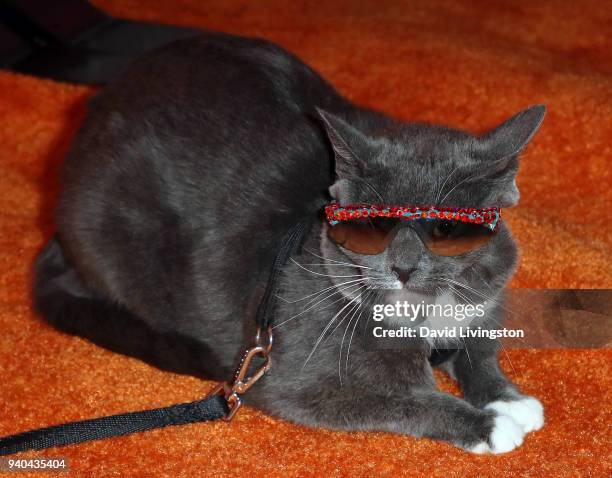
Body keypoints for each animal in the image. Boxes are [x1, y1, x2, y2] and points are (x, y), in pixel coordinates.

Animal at [34, 31, 544, 454]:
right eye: (371, 225)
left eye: (446, 230)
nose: (403, 267)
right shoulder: (291, 381)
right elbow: (402, 402)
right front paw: (486, 425)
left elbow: (478, 349)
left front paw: (506, 397)